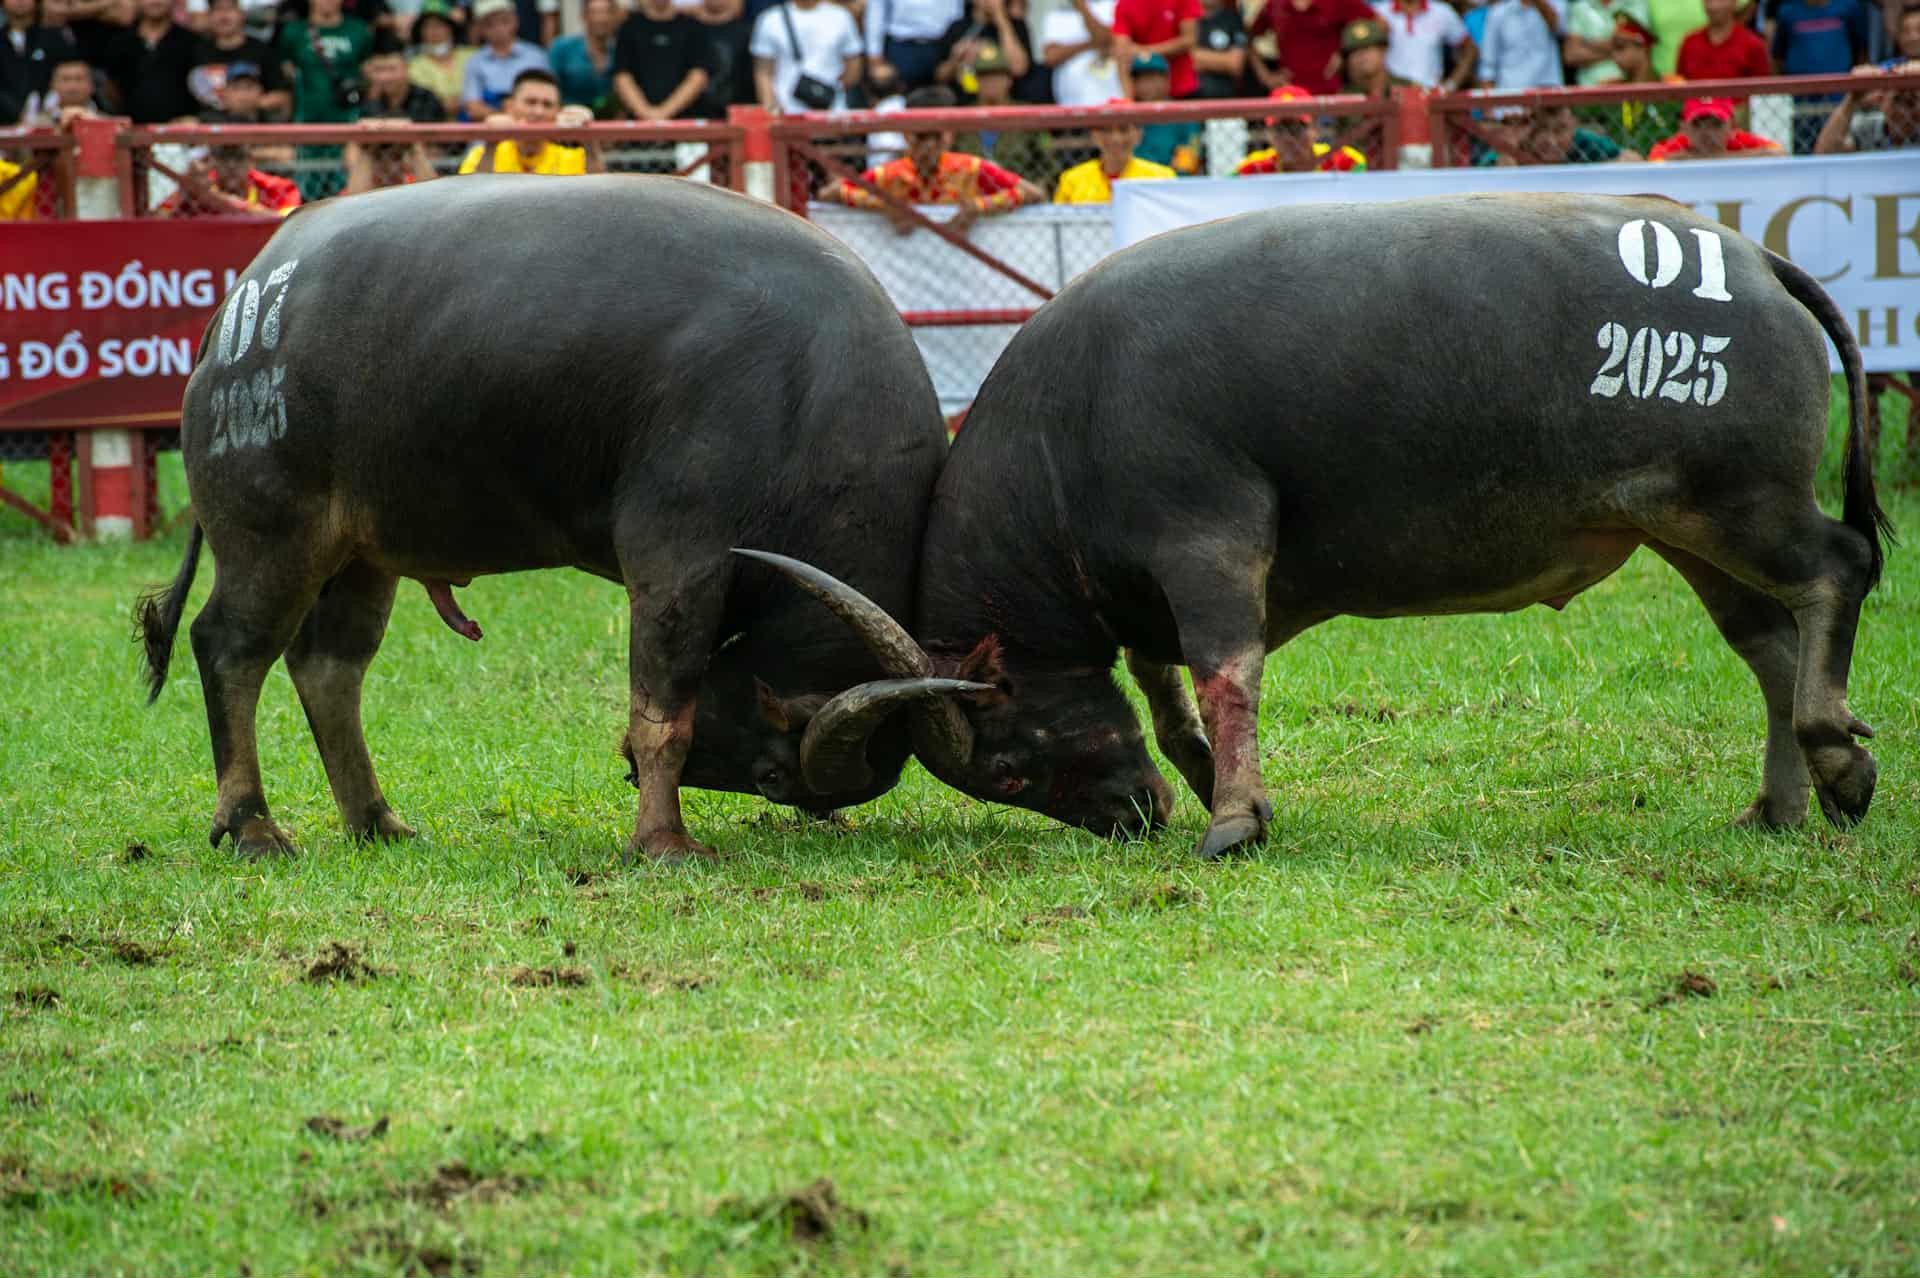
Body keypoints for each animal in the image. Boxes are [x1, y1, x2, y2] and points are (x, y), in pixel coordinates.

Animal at [135, 174, 979, 861]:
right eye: (772, 774)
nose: (624, 770)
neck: (805, 398)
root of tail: (243, 299)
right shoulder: (679, 557)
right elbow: (664, 710)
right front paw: (663, 841)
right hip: (271, 534)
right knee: (230, 647)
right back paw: (252, 825)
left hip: (360, 554)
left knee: (329, 667)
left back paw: (377, 820)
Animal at [752, 193, 1893, 858]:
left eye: (1010, 770)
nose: (1132, 818)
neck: (1073, 416)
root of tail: (1753, 263)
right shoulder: (1141, 588)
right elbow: (1165, 690)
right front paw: (1207, 774)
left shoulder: (1207, 544)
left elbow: (1225, 672)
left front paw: (1231, 819)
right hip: (1687, 529)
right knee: (1767, 642)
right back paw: (1783, 804)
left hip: (1739, 502)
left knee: (1839, 569)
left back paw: (1838, 759)